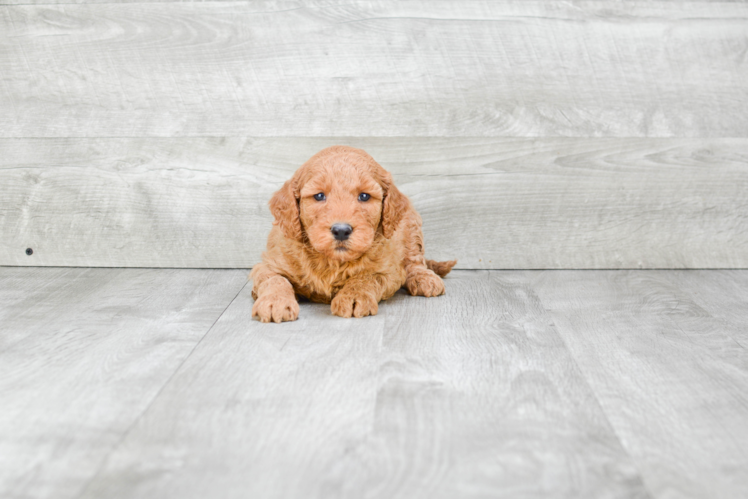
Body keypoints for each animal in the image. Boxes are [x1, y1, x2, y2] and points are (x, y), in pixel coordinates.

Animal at [251, 146, 456, 322]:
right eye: (319, 196)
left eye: (364, 196)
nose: (341, 230)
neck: (332, 262)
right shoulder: (268, 264)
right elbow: (275, 279)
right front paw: (275, 302)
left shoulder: (388, 270)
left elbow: (366, 277)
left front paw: (353, 296)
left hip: (411, 224)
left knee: (415, 259)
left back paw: (424, 278)